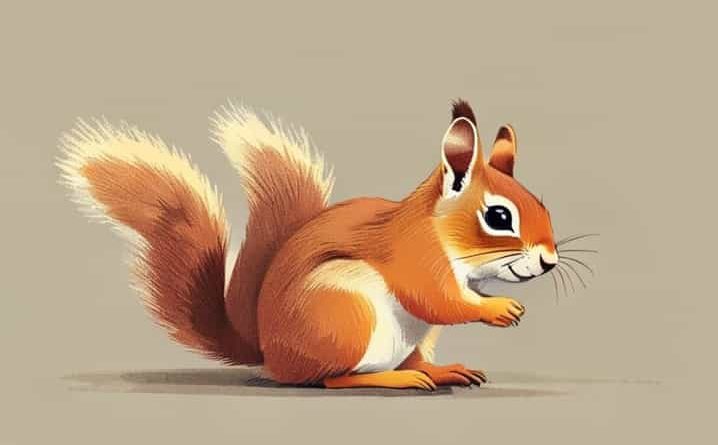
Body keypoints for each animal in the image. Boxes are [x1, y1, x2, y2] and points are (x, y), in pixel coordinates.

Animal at [58, 99, 558, 391]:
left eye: (541, 204)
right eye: (499, 217)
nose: (550, 262)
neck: (438, 231)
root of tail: (272, 356)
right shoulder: (415, 258)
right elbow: (437, 299)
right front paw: (498, 309)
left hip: (414, 335)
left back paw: (438, 370)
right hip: (345, 314)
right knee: (334, 380)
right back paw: (396, 379)